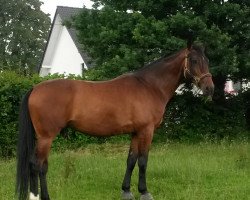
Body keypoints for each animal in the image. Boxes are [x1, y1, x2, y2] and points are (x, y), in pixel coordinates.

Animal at [16, 41, 214, 200]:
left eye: (207, 60)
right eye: (194, 61)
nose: (209, 88)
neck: (149, 86)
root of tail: (35, 89)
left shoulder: (136, 132)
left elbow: (131, 160)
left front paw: (126, 191)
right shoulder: (146, 131)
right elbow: (143, 161)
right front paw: (144, 192)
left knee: (37, 165)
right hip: (46, 137)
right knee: (38, 166)